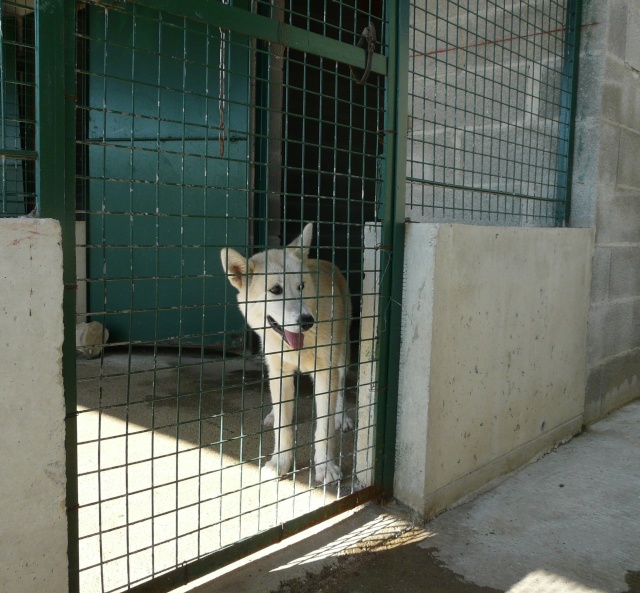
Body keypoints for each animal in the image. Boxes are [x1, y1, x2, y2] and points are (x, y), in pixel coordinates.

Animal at [219, 222, 350, 480]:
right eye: (276, 290)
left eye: (301, 287)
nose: (307, 321)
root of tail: (322, 261)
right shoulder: (279, 371)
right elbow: (284, 426)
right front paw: (280, 463)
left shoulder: (325, 373)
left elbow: (323, 428)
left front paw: (325, 467)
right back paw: (271, 414)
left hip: (341, 356)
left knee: (340, 386)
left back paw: (341, 416)